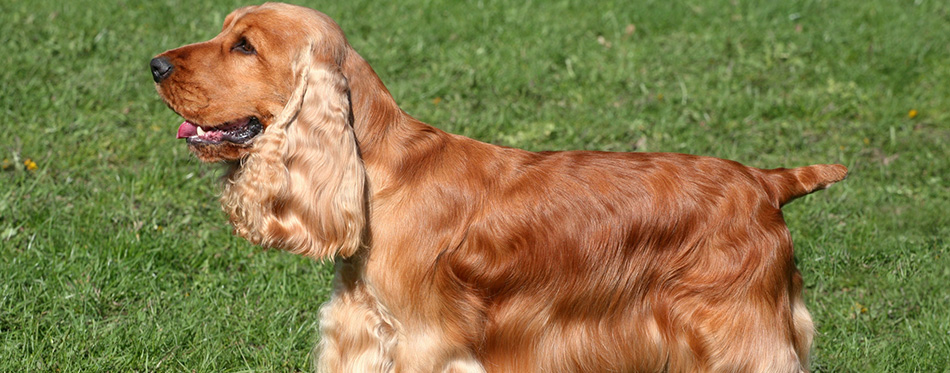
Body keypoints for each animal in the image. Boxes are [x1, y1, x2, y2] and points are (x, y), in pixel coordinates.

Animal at [152, 2, 852, 370]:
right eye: (223, 29)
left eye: (244, 46)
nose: (155, 64)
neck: (378, 175)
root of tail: (766, 182)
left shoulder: (429, 343)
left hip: (743, 334)